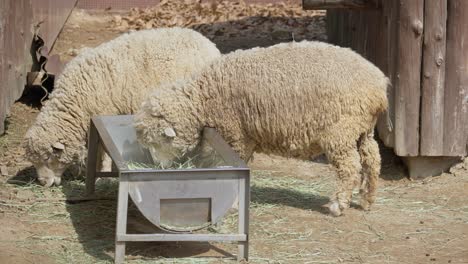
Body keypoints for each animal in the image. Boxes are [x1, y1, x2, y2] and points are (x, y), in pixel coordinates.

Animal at [22, 26, 219, 187]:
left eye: (48, 157)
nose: (42, 183)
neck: (76, 99)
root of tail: (209, 45)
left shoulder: (103, 114)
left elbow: (104, 152)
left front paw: (103, 176)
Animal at [133, 40, 390, 216]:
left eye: (155, 141)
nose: (158, 167)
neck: (203, 99)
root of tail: (378, 84)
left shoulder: (235, 135)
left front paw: (232, 202)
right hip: (363, 130)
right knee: (372, 160)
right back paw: (366, 200)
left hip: (341, 130)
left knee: (350, 167)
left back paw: (338, 204)